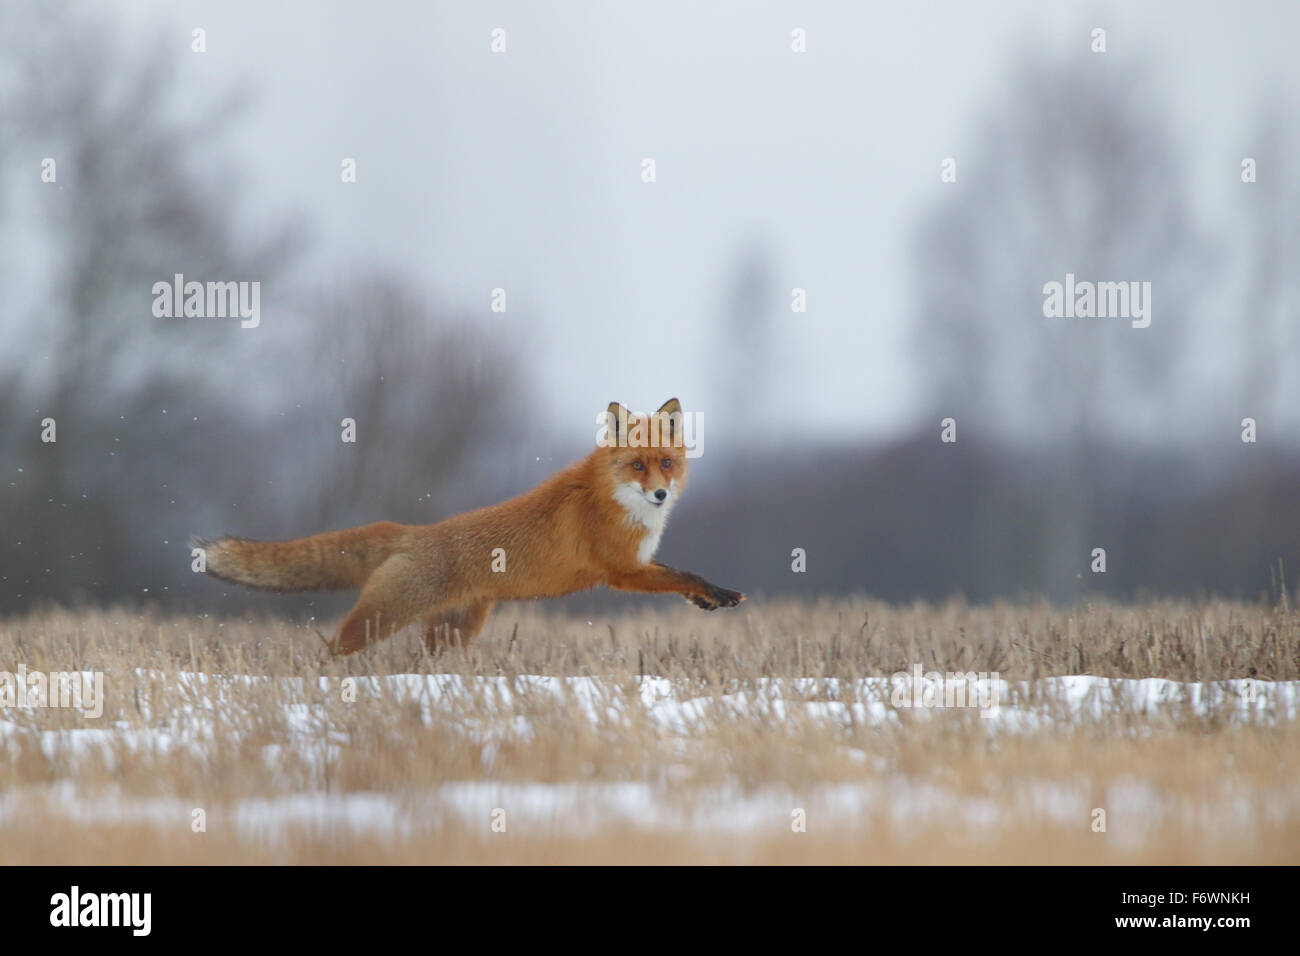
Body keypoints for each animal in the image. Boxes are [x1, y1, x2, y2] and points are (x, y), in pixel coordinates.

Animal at [197, 398, 744, 655]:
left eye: (666, 464)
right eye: (637, 466)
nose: (660, 494)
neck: (612, 498)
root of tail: (412, 532)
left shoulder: (640, 563)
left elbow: (684, 578)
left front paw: (710, 599)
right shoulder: (623, 570)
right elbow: (683, 574)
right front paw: (717, 592)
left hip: (453, 632)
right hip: (380, 621)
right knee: (329, 654)